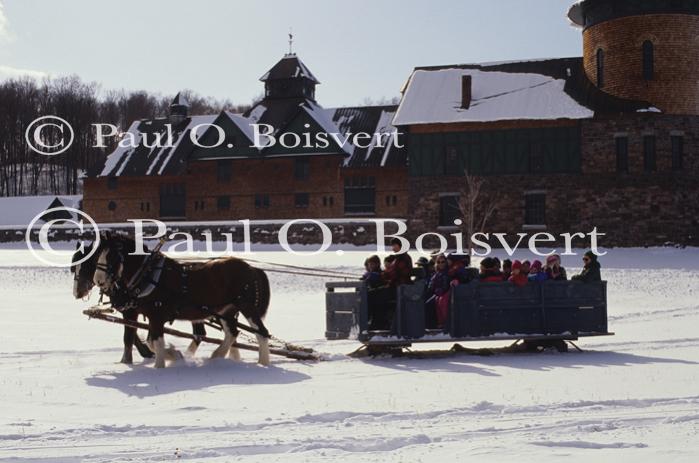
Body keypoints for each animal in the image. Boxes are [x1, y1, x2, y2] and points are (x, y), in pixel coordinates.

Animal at [91, 236, 270, 370]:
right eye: (99, 254)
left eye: (112, 256)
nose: (98, 280)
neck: (148, 275)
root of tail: (252, 269)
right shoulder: (151, 317)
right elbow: (151, 342)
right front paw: (176, 355)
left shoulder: (156, 316)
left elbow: (156, 342)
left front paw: (160, 366)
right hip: (226, 311)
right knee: (232, 333)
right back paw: (217, 356)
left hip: (247, 307)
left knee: (261, 332)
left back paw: (263, 364)